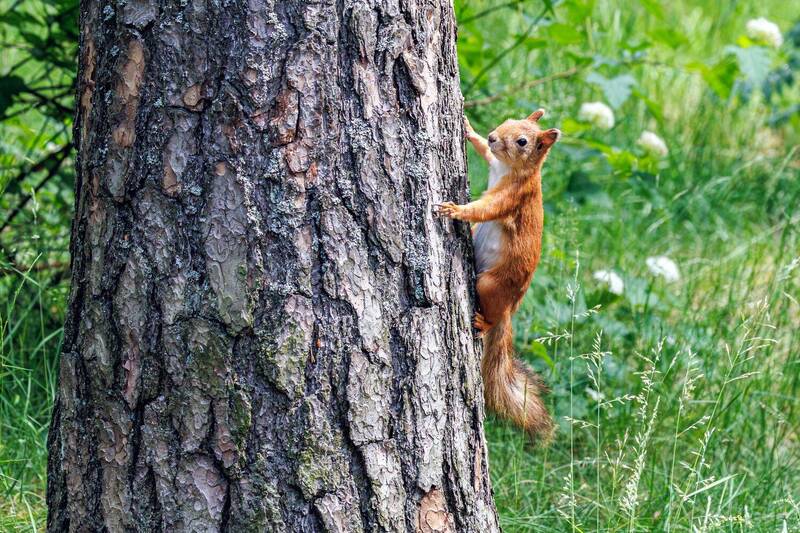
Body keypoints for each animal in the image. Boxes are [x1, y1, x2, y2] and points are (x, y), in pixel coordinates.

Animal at [436, 109, 560, 442]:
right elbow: (482, 151)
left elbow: (484, 209)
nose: (494, 137)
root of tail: (510, 310)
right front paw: (469, 129)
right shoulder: (493, 163)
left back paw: (484, 322)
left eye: (522, 141)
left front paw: (456, 210)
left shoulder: (513, 196)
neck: (510, 169)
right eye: (508, 121)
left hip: (490, 285)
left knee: (492, 313)